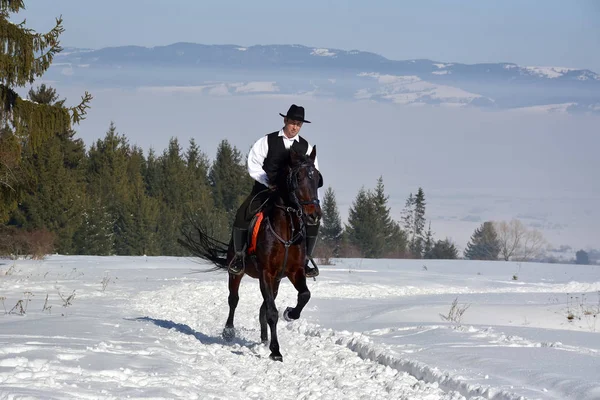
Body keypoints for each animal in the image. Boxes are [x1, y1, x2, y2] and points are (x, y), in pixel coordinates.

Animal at [179, 145, 324, 360]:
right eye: (298, 178)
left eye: (317, 179)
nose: (314, 215)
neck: (286, 230)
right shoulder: (266, 272)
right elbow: (271, 311)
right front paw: (276, 351)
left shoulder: (294, 271)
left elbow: (304, 295)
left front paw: (290, 313)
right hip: (236, 272)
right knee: (234, 299)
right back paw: (229, 331)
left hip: (276, 280)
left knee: (263, 306)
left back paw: (264, 338)